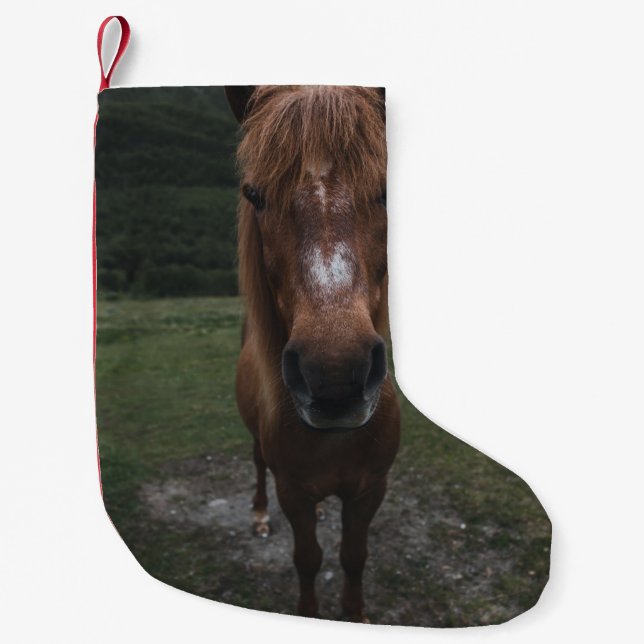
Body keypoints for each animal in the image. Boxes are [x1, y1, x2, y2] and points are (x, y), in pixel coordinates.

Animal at [225, 85, 401, 622]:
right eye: (255, 195)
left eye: (387, 190)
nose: (336, 376)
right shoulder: (292, 491)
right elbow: (308, 559)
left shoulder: (370, 488)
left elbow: (353, 556)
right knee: (256, 464)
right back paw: (259, 516)